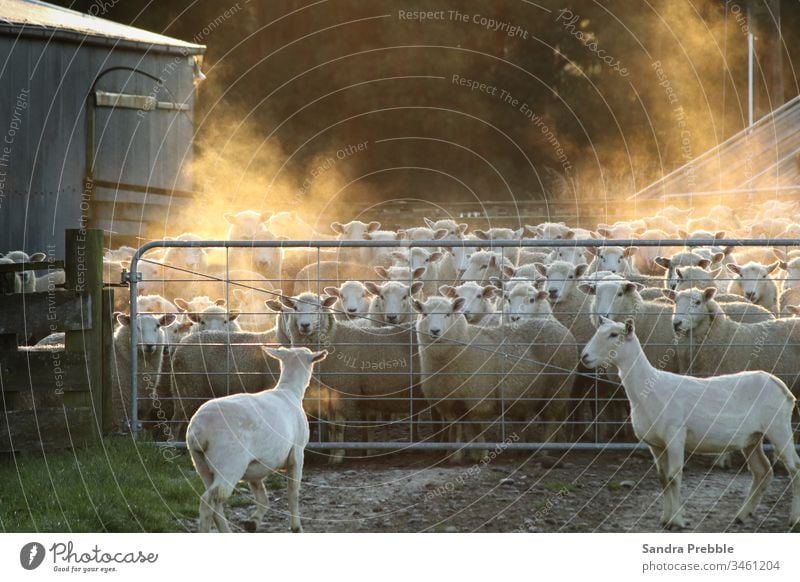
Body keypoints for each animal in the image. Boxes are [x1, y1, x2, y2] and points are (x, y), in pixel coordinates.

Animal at [189, 346, 326, 532]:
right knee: (207, 501)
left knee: (216, 505)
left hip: (201, 464)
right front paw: (296, 526)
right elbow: (293, 493)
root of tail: (198, 428)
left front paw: (252, 522)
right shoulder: (297, 453)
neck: (289, 391)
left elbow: (262, 497)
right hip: (230, 463)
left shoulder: (255, 466)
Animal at [580, 320, 800, 532]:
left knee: (794, 468)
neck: (648, 389)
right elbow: (662, 478)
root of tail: (779, 384)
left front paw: (676, 521)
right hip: (752, 437)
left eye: (613, 335)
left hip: (779, 427)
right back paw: (743, 515)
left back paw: (794, 519)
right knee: (762, 471)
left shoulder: (675, 434)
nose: (584, 356)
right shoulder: (655, 444)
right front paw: (665, 519)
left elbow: (674, 476)